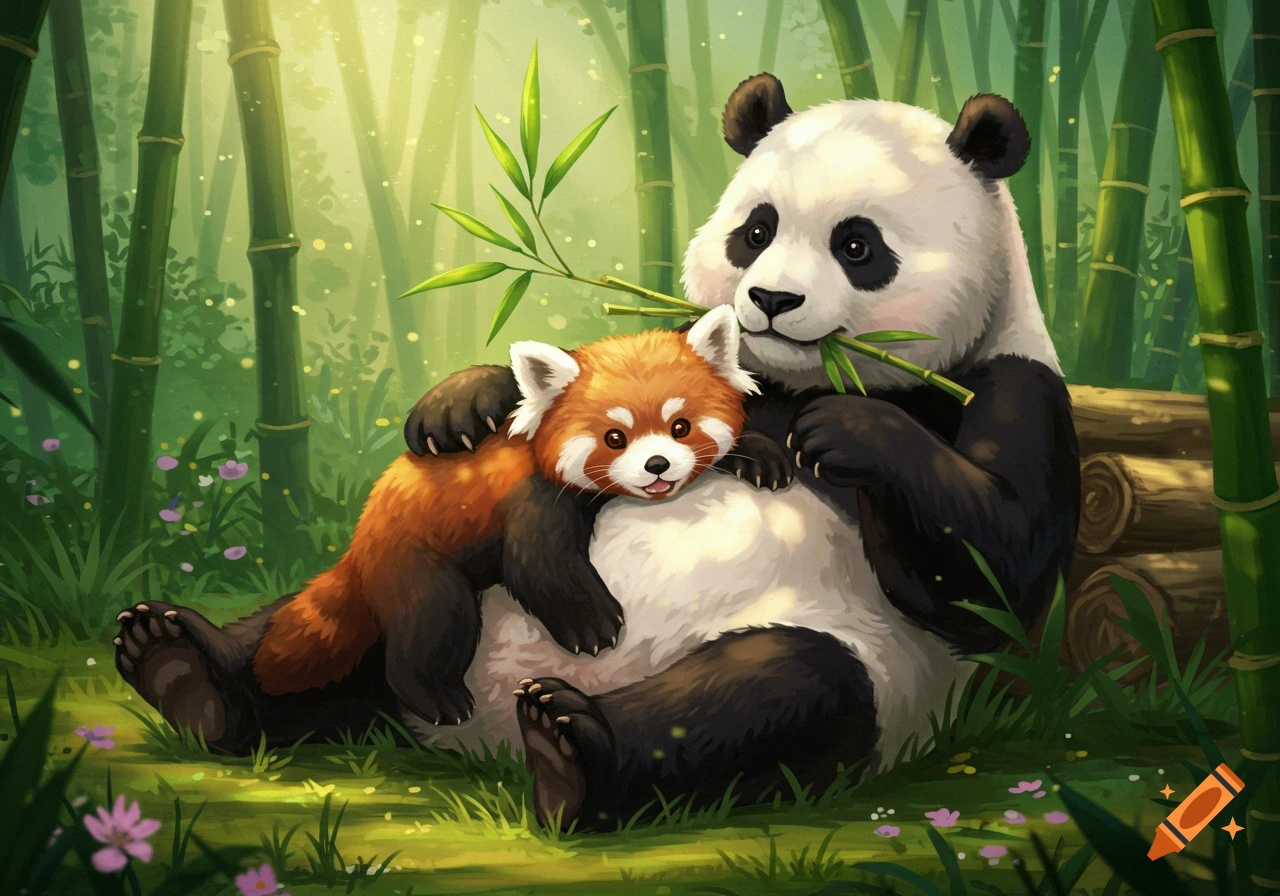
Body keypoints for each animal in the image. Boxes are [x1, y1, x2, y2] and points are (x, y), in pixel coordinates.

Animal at [404, 75, 1080, 830]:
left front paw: (844, 431)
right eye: (757, 231)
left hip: (860, 668)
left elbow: (991, 579)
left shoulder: (1011, 382)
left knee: (779, 690)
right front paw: (462, 406)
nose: (772, 297)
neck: (801, 377)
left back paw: (568, 748)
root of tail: (483, 744)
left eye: (857, 246)